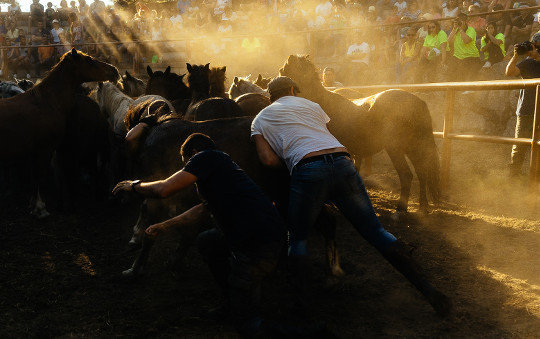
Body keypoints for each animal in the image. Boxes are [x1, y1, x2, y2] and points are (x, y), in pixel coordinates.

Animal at [0, 48, 119, 218]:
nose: (114, 70)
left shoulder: (34, 153)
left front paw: (33, 205)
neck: (47, 102)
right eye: (89, 60)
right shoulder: (45, 150)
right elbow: (41, 176)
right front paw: (40, 208)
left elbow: (34, 178)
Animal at [278, 55, 438, 215]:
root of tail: (419, 102)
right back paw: (423, 207)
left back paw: (400, 209)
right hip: (414, 148)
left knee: (406, 175)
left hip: (396, 149)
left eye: (283, 70)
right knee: (421, 173)